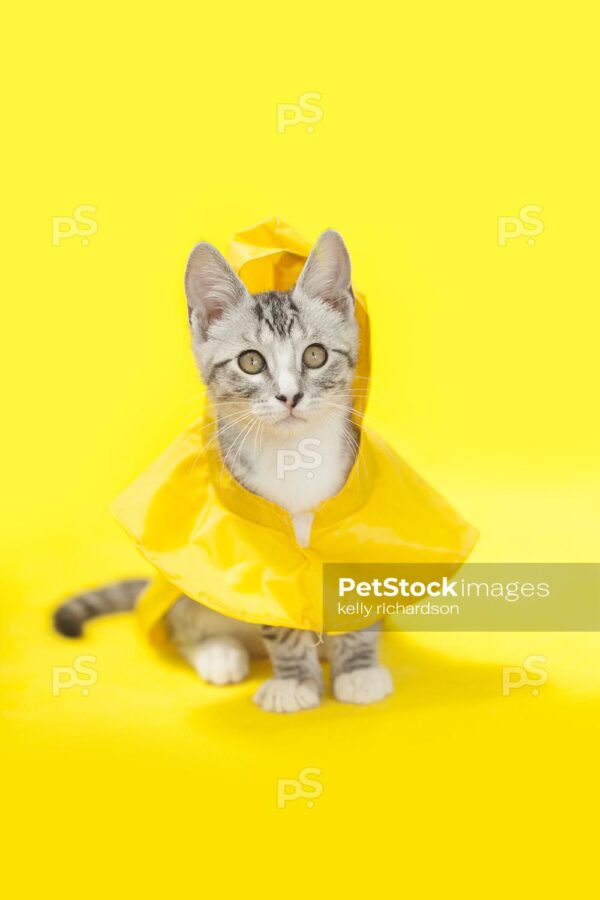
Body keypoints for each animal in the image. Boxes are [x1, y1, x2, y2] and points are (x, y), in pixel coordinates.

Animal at [54, 230, 394, 712]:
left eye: (315, 355)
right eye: (251, 362)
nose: (290, 396)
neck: (295, 454)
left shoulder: (354, 525)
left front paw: (359, 669)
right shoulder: (259, 549)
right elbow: (276, 612)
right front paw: (295, 680)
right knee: (184, 625)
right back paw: (220, 653)